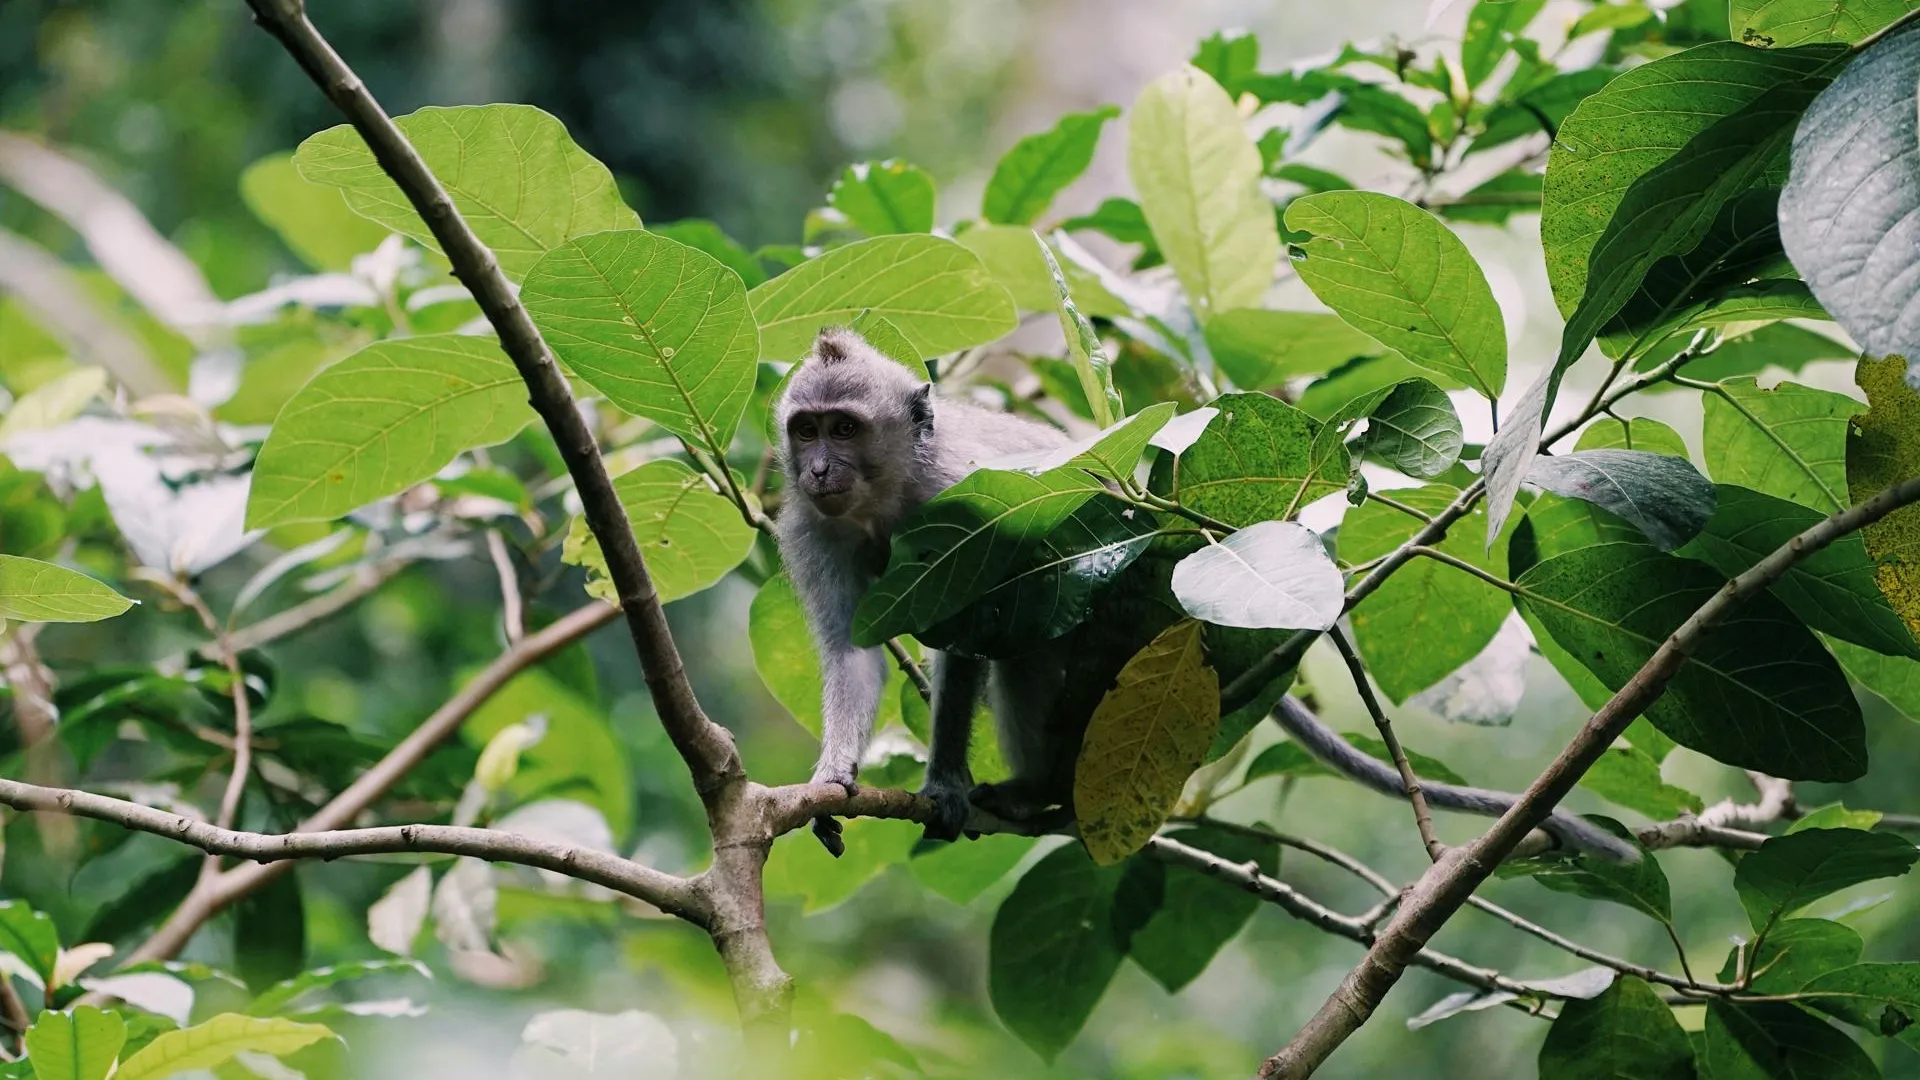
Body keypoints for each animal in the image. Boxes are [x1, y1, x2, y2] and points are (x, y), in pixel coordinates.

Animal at [771, 322, 1643, 860]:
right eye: (805, 429)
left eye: (844, 428)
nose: (818, 469)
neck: (890, 497)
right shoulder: (810, 531)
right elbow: (853, 653)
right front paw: (833, 778)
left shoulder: (961, 504)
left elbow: (968, 636)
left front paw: (946, 781)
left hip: (1138, 604)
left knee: (1037, 648)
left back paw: (1036, 790)